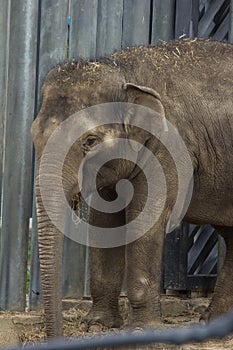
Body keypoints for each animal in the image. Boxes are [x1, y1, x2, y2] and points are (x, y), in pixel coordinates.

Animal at [31, 39, 233, 340]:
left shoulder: (170, 148)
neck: (122, 71)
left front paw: (142, 331)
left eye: (90, 141)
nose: (57, 337)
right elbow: (105, 222)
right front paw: (99, 325)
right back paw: (212, 324)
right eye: (34, 136)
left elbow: (147, 218)